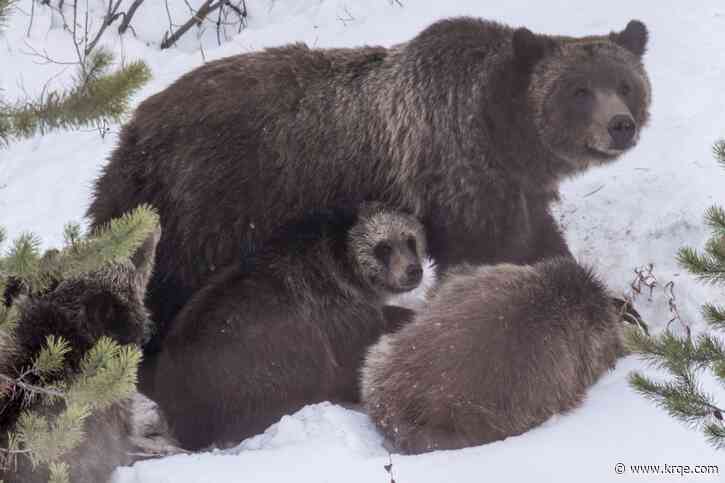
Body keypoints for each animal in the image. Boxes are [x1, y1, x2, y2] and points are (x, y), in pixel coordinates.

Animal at [87, 17, 651, 360]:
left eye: (625, 84)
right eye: (579, 91)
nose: (621, 126)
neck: (503, 135)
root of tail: (133, 130)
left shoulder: (515, 191)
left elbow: (539, 244)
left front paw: (622, 307)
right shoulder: (458, 176)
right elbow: (492, 255)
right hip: (211, 205)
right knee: (170, 285)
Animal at [152, 203, 427, 450]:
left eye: (410, 240)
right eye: (384, 247)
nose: (413, 270)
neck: (349, 271)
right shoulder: (336, 314)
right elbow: (357, 356)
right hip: (258, 367)